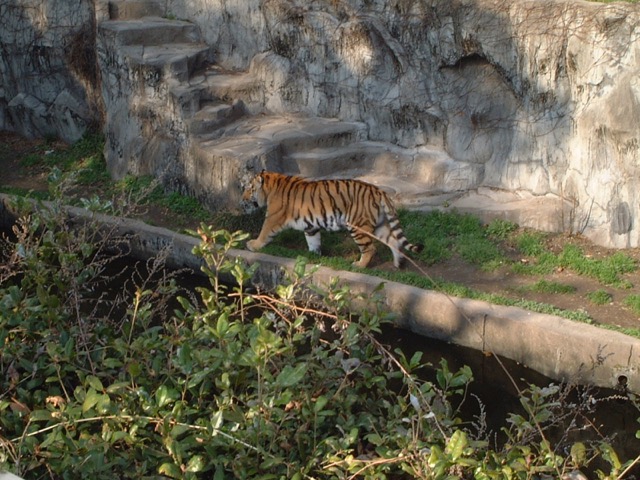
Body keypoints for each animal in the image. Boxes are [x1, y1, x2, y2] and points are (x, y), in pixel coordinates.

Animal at [242, 171, 422, 268]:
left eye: (249, 189)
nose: (243, 199)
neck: (271, 187)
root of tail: (379, 191)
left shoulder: (273, 218)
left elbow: (264, 232)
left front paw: (253, 245)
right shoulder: (310, 226)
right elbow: (313, 241)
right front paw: (313, 255)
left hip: (358, 226)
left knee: (370, 249)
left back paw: (359, 265)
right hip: (379, 225)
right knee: (394, 241)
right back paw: (398, 263)